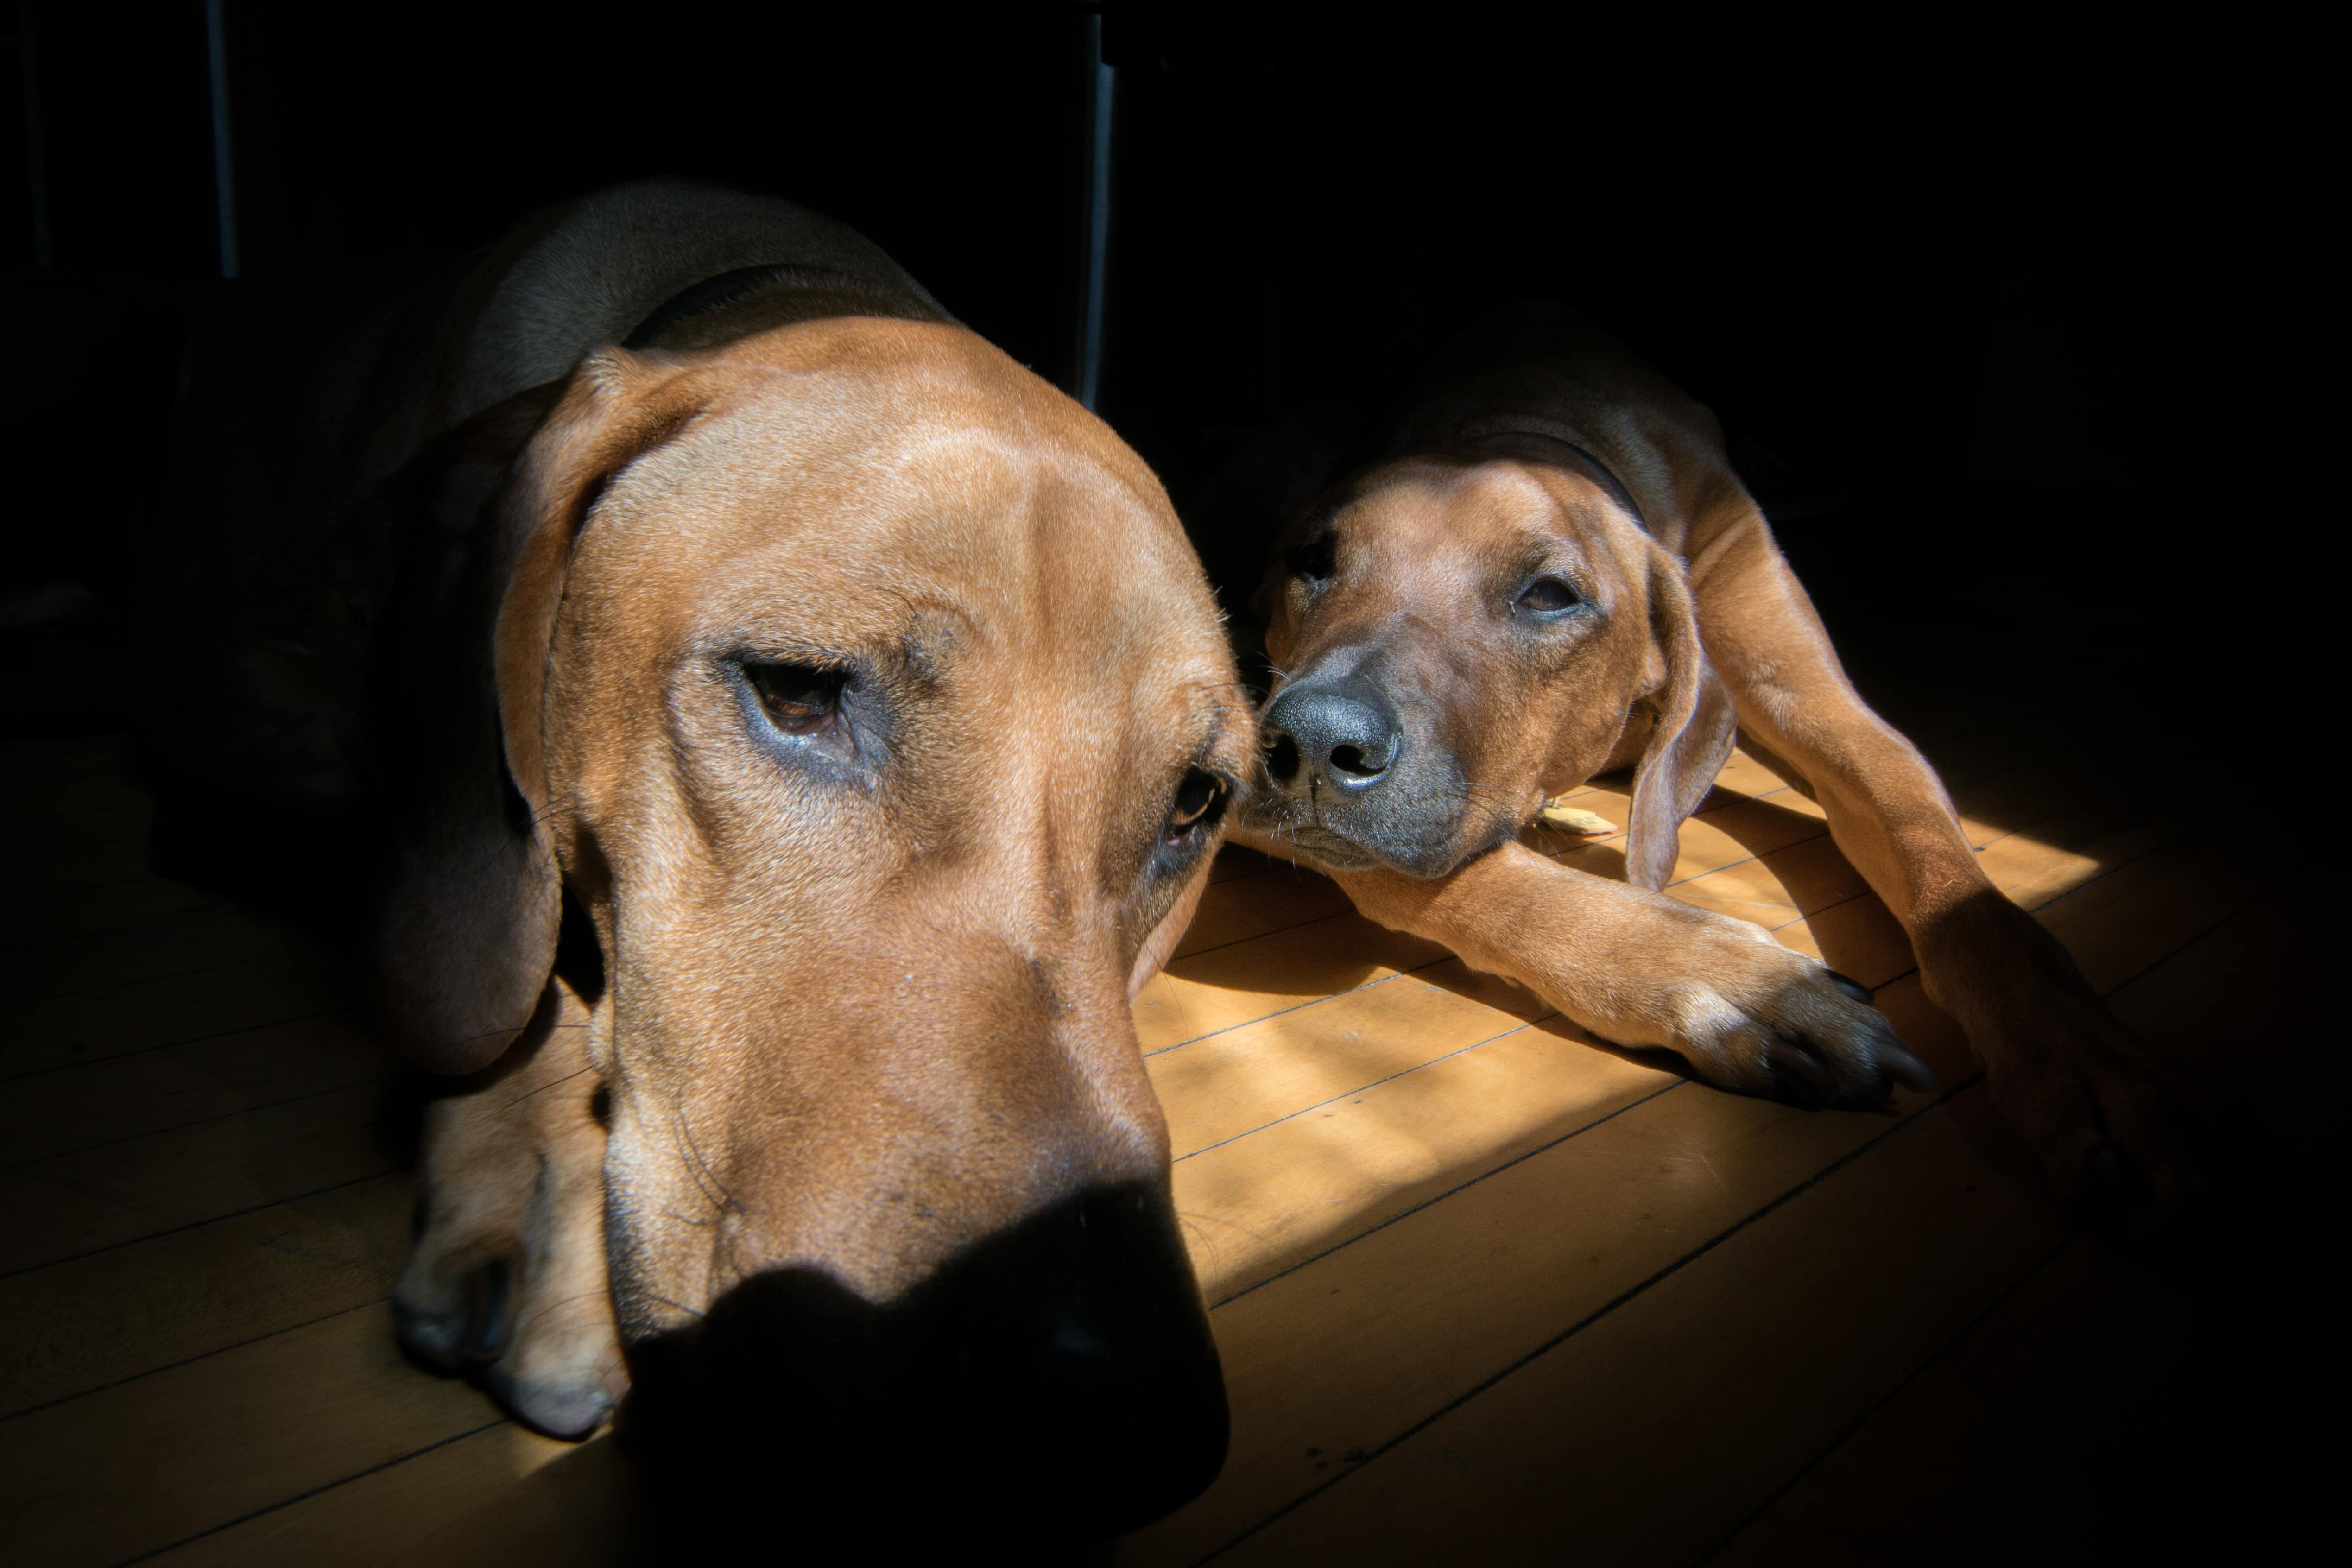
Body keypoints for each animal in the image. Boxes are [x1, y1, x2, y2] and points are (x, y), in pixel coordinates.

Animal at [1242, 301, 2192, 1222]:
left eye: (1549, 595)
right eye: (1313, 562)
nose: (1313, 742)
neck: (1528, 416)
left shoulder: (1801, 677)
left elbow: (1933, 844)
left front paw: (2086, 1057)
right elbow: (1451, 877)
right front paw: (1726, 984)